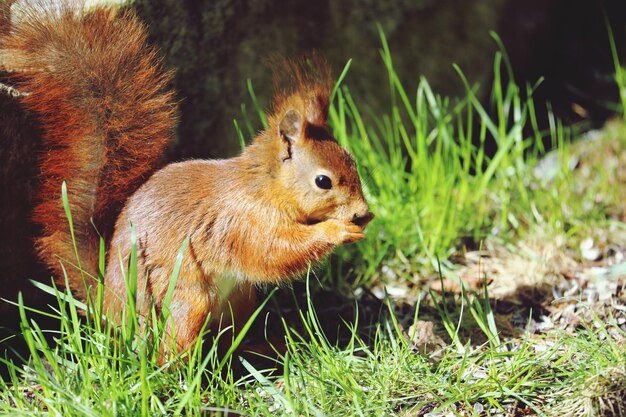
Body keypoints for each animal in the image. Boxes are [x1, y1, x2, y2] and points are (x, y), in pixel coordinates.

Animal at [0, 1, 370, 352]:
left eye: (352, 161)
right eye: (323, 181)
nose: (365, 214)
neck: (263, 187)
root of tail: (111, 311)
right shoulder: (242, 222)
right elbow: (274, 251)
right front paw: (337, 230)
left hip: (238, 300)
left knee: (227, 343)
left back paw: (261, 349)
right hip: (184, 301)